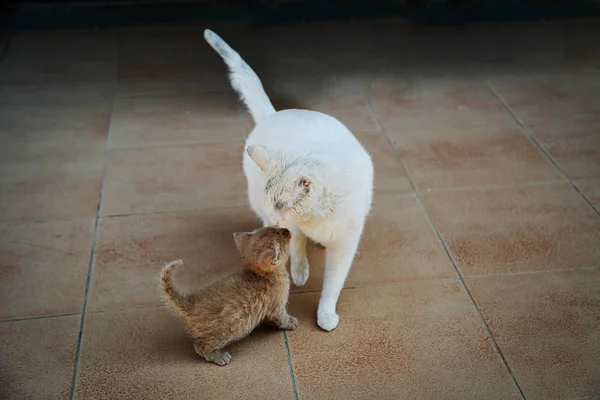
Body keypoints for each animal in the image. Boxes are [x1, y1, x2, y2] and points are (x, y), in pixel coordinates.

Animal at [159, 228, 298, 366]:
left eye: (278, 229)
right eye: (281, 234)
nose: (287, 230)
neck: (262, 275)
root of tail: (191, 303)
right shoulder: (277, 307)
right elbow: (282, 318)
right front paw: (290, 322)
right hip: (231, 329)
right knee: (199, 345)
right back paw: (218, 356)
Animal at [207, 28, 376, 332]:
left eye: (283, 205)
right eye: (272, 205)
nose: (274, 221)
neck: (316, 218)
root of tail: (276, 114)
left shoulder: (345, 243)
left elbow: (333, 283)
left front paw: (325, 313)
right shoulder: (289, 226)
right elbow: (295, 244)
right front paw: (299, 272)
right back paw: (299, 269)